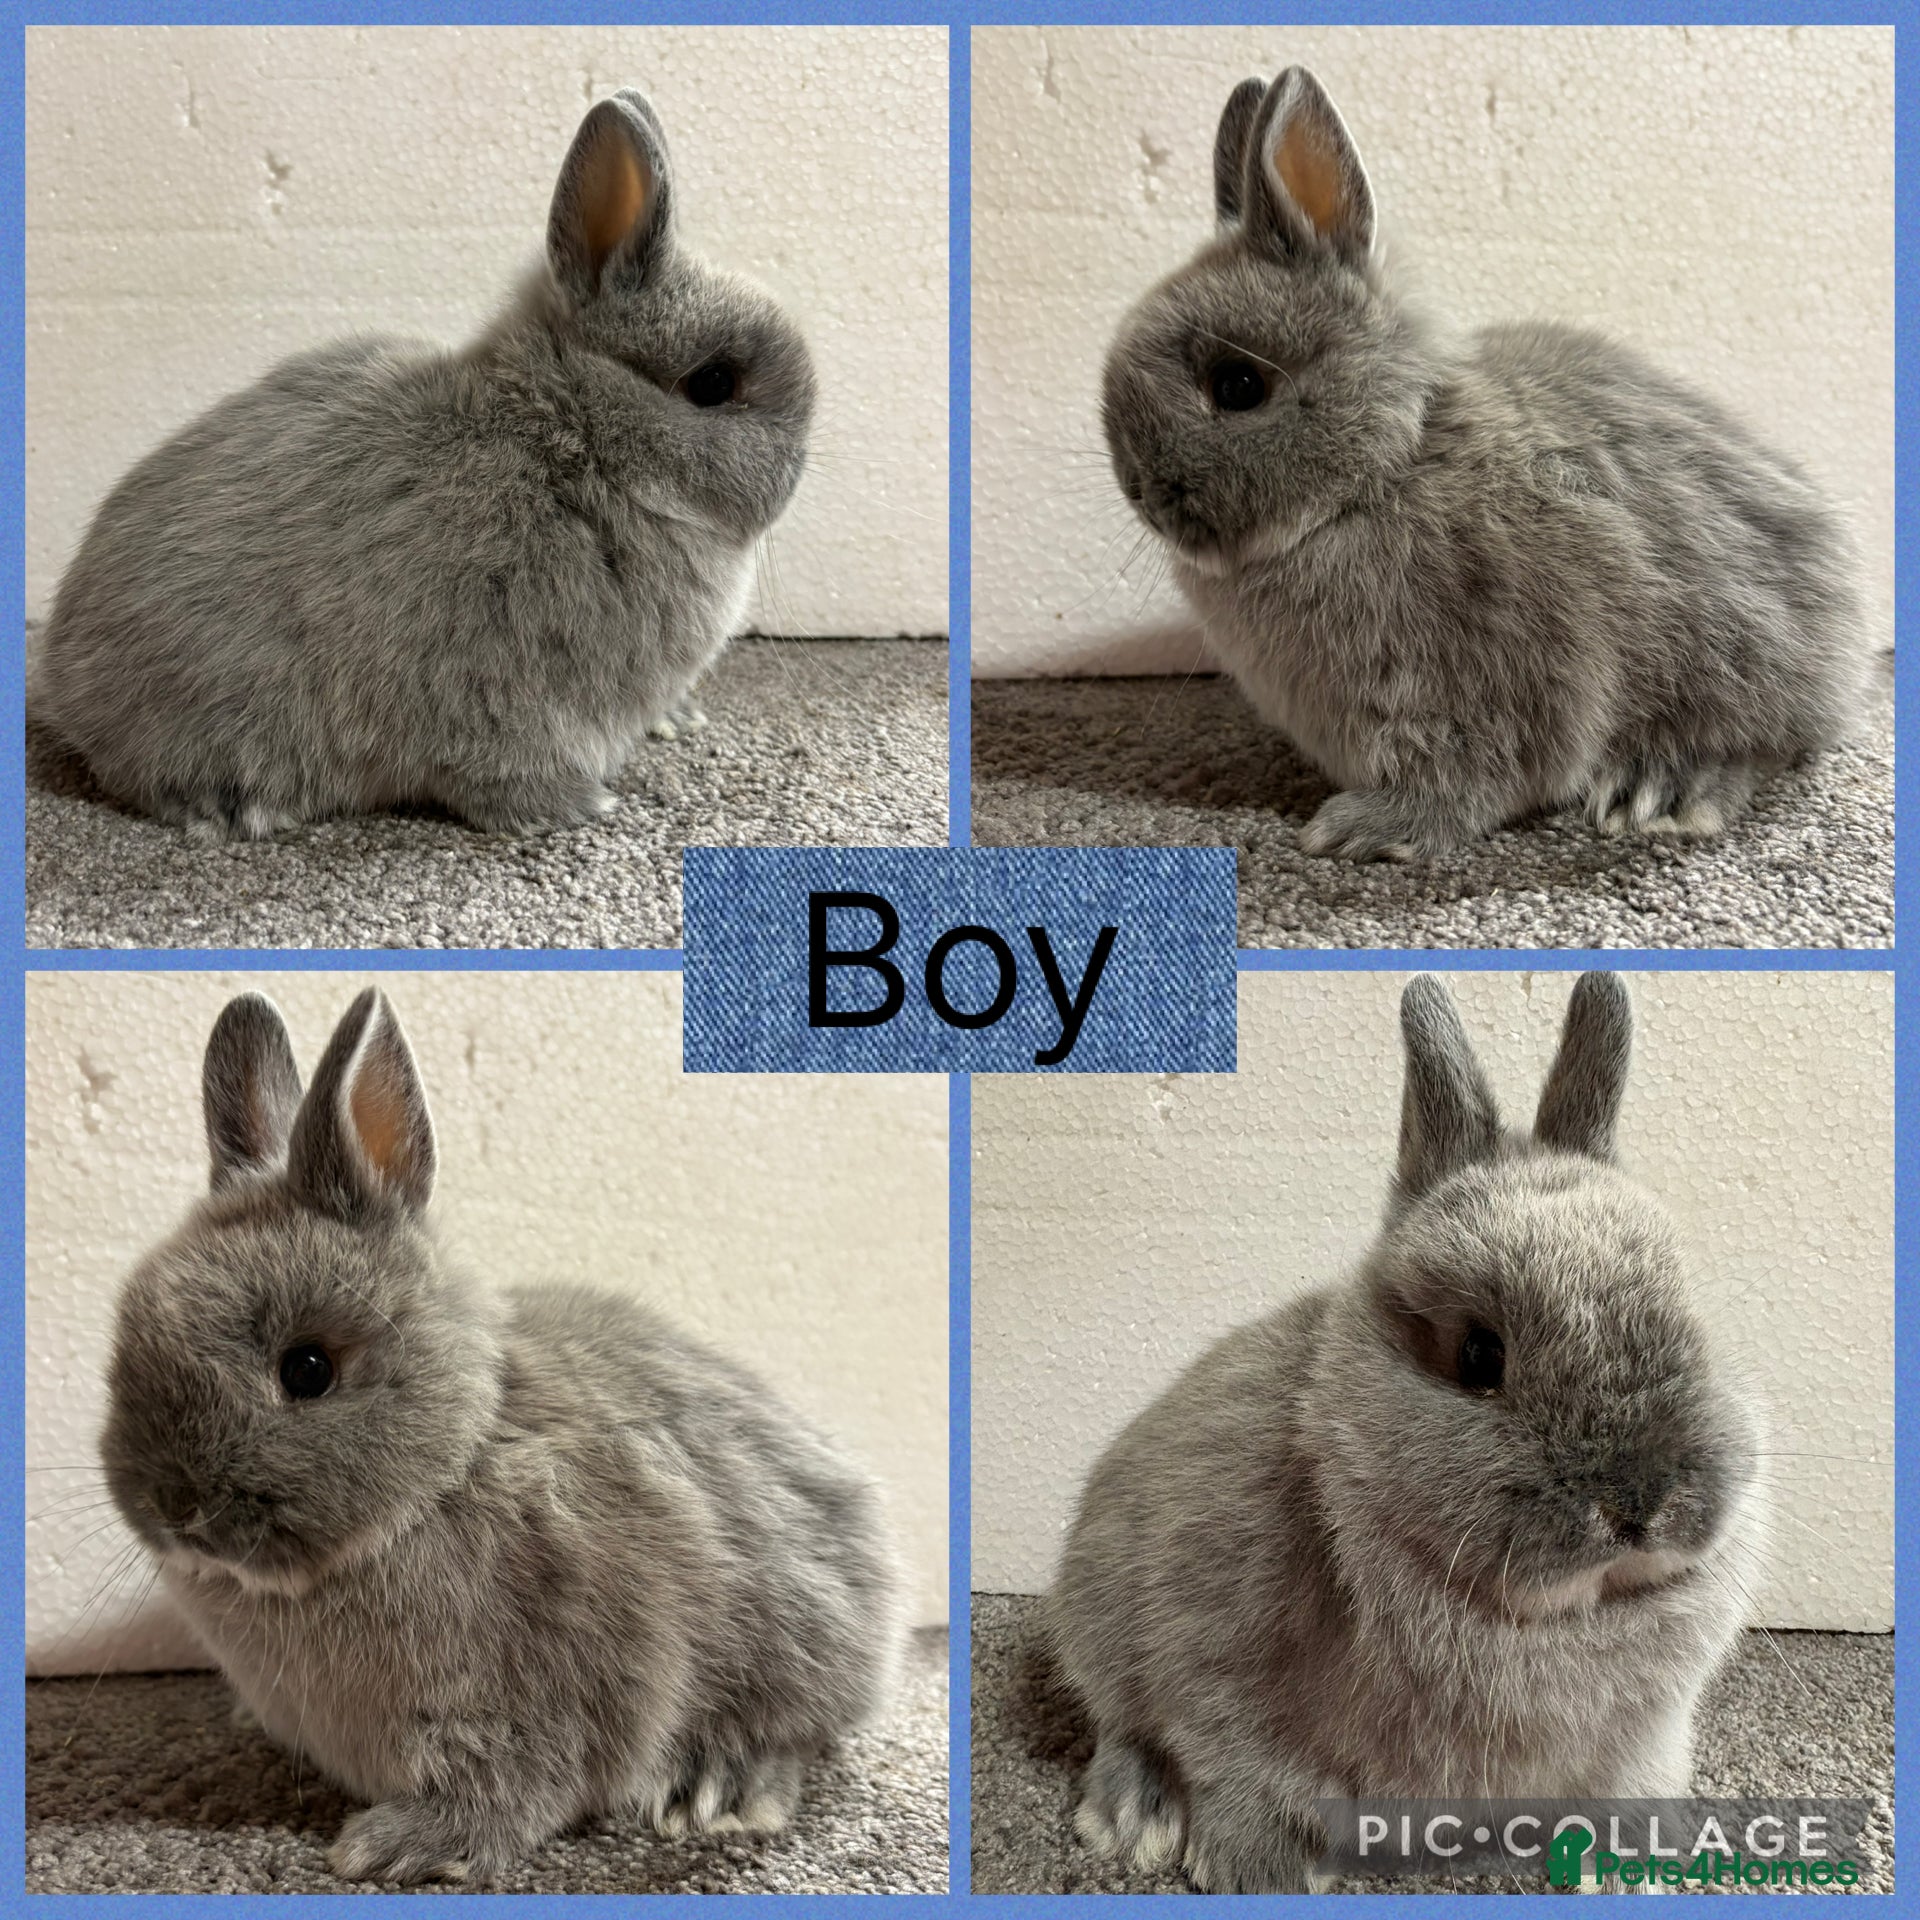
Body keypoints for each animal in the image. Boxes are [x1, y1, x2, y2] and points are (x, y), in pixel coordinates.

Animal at [31, 88, 814, 840]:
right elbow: (495, 767)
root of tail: (64, 689)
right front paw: (577, 807)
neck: (577, 447)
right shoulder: (502, 691)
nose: (804, 461)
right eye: (713, 384)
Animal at [97, 987, 901, 1884]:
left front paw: (391, 1847)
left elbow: (520, 1786)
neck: (447, 1469)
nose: (173, 1507)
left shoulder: (557, 1686)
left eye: (307, 1369)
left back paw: (718, 1792)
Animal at [1050, 973, 1764, 1893]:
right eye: (1479, 1355)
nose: (1641, 1504)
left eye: (1691, 1316)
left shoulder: (1645, 1740)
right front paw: (1260, 1872)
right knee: (1122, 1722)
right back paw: (1131, 1820)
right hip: (1098, 1615)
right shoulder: (1211, 1660)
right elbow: (1231, 1769)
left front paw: (1629, 1868)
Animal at [1102, 66, 1870, 861]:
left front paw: (1357, 829)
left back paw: (1660, 791)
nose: (1140, 492)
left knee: (1762, 746)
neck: (1385, 469)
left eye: (1238, 386)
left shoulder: (1508, 674)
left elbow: (1476, 776)